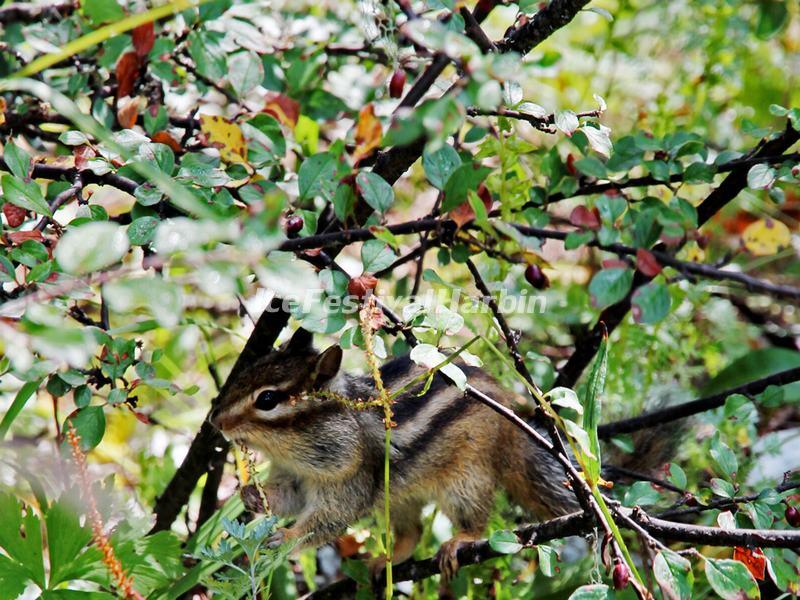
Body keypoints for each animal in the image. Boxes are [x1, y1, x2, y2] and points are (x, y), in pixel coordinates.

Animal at [209, 328, 672, 580]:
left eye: (268, 399)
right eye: (245, 373)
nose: (215, 420)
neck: (298, 451)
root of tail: (515, 425)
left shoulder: (348, 479)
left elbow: (327, 522)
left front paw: (285, 537)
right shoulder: (296, 477)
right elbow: (287, 498)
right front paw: (250, 496)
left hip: (466, 481)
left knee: (477, 522)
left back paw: (458, 542)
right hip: (398, 497)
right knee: (412, 532)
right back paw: (387, 559)